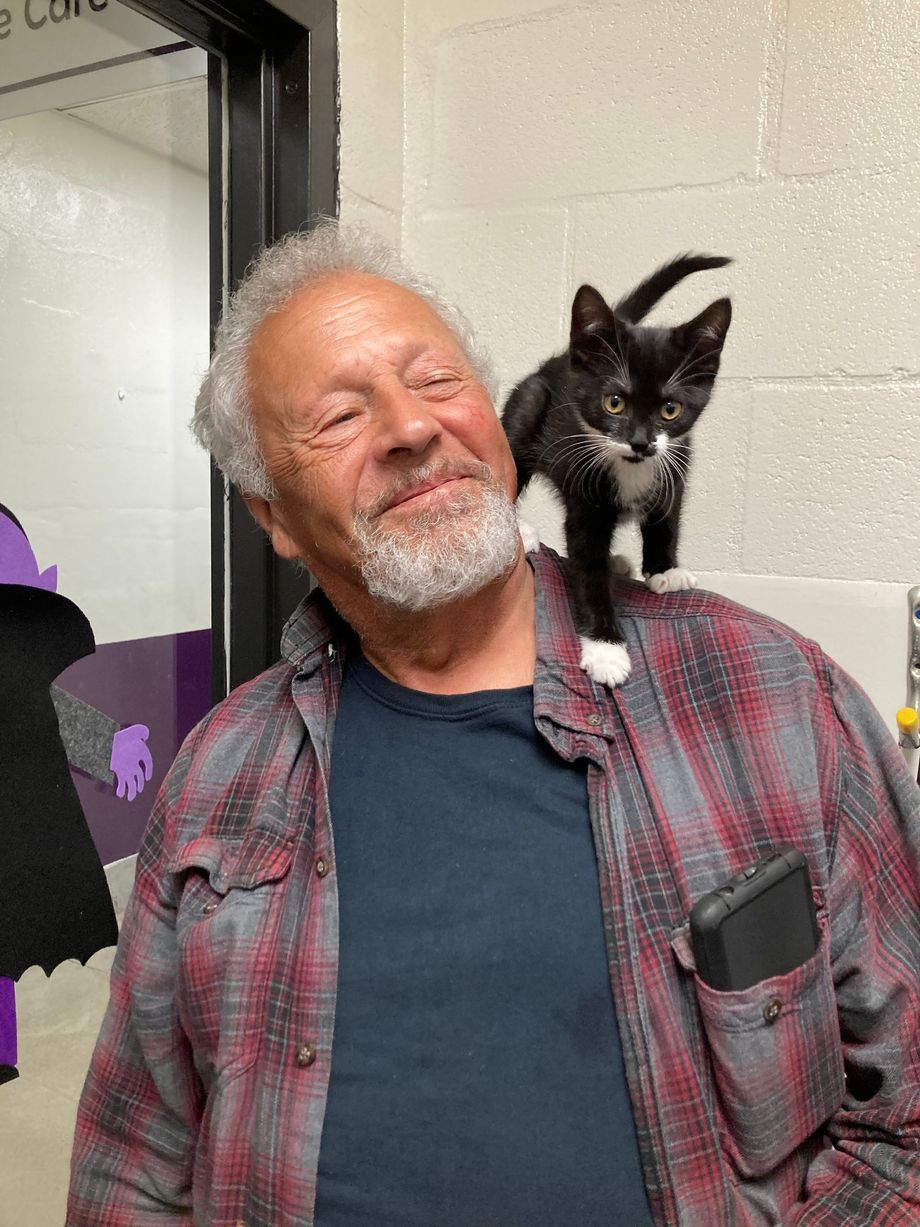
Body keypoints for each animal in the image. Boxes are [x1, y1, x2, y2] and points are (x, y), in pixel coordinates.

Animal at [505, 252, 736, 687]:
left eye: (670, 409)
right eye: (614, 403)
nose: (641, 442)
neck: (630, 466)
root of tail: (564, 357)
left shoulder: (676, 463)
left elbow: (667, 519)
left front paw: (665, 570)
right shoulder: (584, 497)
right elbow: (588, 567)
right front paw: (606, 650)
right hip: (528, 406)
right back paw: (519, 529)